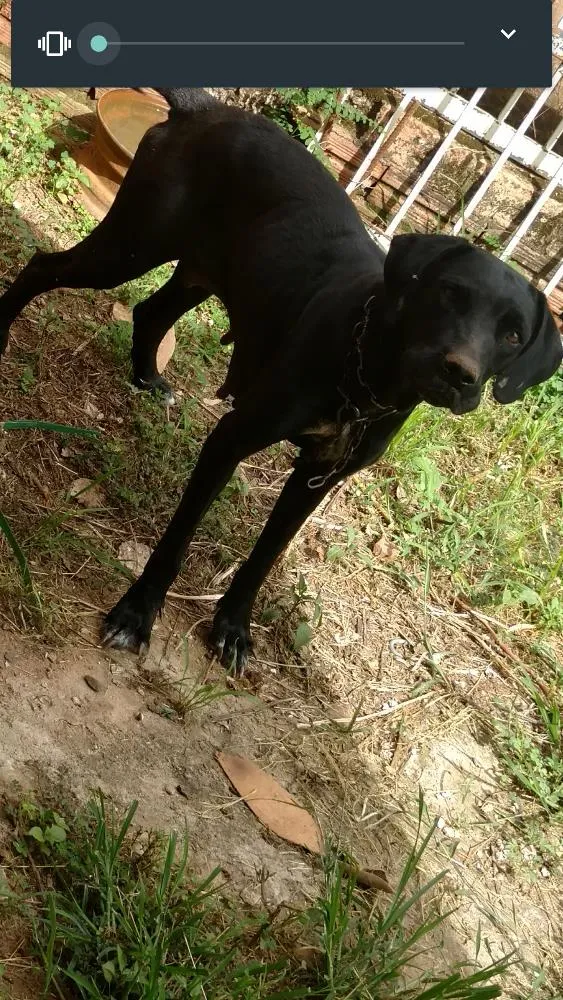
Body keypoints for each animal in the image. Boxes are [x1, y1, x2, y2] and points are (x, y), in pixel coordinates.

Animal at [0, 90, 560, 668]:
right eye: (450, 291)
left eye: (513, 334)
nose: (459, 374)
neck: (367, 375)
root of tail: (205, 108)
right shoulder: (230, 440)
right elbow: (178, 539)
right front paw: (138, 611)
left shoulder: (316, 480)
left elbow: (266, 556)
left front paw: (233, 626)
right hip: (131, 246)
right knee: (43, 268)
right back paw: (0, 335)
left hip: (202, 272)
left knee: (150, 313)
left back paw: (150, 381)